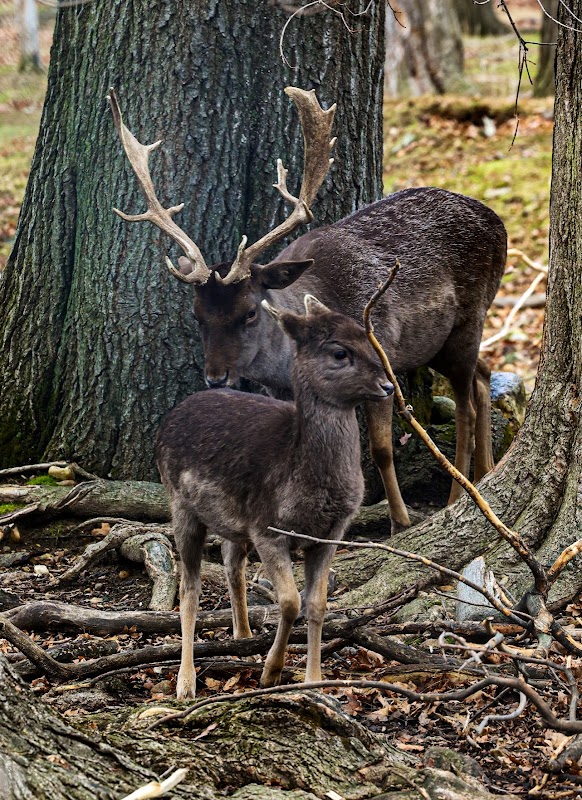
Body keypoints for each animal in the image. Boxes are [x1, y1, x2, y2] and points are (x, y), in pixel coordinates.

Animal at [108, 86, 507, 534]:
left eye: (250, 312)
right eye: (197, 315)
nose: (215, 377)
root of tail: (499, 222)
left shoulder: (382, 354)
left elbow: (382, 449)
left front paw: (400, 521)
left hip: (469, 317)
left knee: (466, 404)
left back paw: (459, 495)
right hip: (437, 343)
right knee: (484, 374)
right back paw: (487, 471)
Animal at [156, 294, 393, 699]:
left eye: (367, 336)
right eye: (340, 352)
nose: (388, 385)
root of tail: (172, 416)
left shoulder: (332, 532)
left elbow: (317, 603)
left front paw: (314, 680)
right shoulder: (266, 526)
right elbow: (289, 601)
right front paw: (272, 672)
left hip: (233, 521)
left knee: (232, 562)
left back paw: (243, 635)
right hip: (180, 503)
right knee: (189, 587)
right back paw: (186, 682)